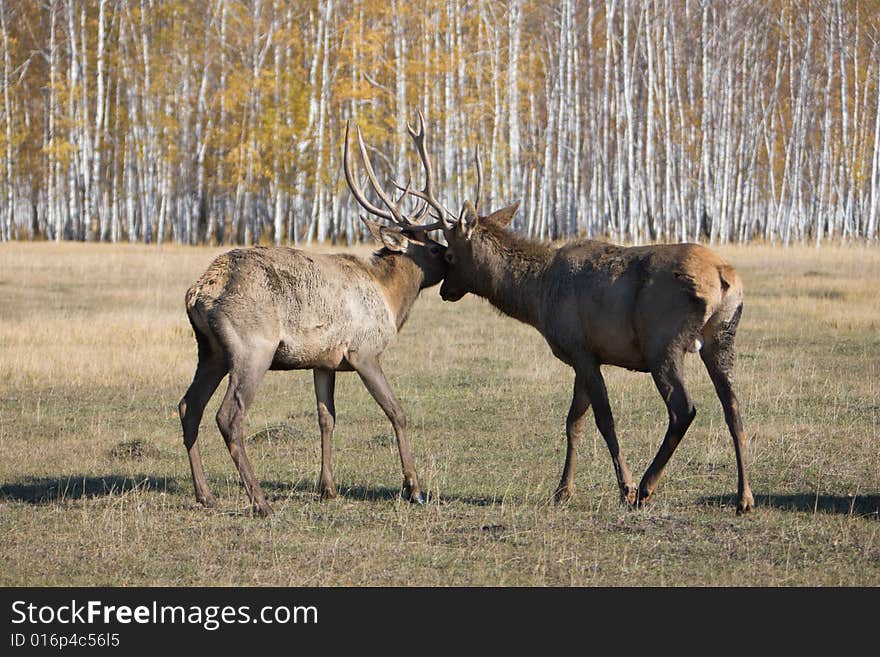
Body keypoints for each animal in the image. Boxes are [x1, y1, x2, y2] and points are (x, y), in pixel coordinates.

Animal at [176, 120, 446, 516]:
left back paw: (205, 494)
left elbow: (326, 418)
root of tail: (198, 292)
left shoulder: (323, 360)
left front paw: (327, 487)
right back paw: (260, 501)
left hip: (210, 352)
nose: (453, 256)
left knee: (188, 406)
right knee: (229, 416)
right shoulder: (364, 351)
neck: (391, 298)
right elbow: (396, 411)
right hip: (251, 348)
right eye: (435, 247)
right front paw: (413, 488)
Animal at [364, 118, 756, 512]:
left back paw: (647, 487)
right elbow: (573, 421)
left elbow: (604, 420)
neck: (538, 298)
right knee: (734, 408)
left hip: (663, 342)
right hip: (722, 337)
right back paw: (744, 496)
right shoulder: (583, 355)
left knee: (683, 409)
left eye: (448, 254)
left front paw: (625, 487)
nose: (445, 290)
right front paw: (562, 489)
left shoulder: (581, 349)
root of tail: (724, 278)